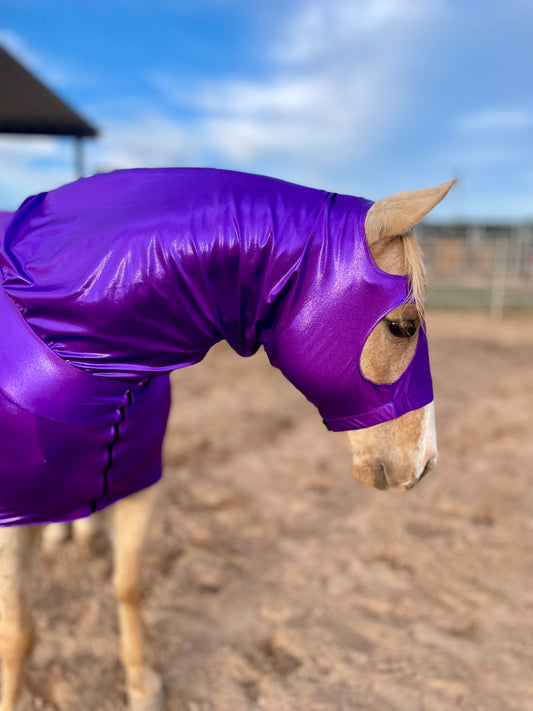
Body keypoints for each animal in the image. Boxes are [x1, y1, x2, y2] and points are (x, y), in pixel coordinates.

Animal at [0, 170, 454, 708]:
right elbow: (18, 631)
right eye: (404, 327)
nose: (425, 463)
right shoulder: (9, 520)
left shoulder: (137, 485)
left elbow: (128, 586)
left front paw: (142, 685)